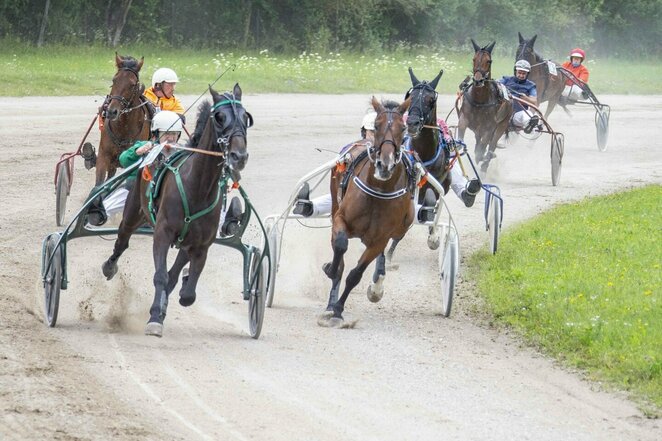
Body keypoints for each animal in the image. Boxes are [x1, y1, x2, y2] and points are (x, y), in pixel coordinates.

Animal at [92, 53, 152, 186]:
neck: (123, 129)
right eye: (114, 80)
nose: (112, 111)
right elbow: (99, 183)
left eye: (133, 84)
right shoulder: (104, 157)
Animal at [102, 83, 253, 336]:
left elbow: (186, 291)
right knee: (122, 240)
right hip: (133, 212)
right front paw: (155, 318)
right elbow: (161, 276)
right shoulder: (162, 234)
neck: (198, 187)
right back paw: (109, 267)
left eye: (245, 117)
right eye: (220, 117)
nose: (238, 156)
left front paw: (172, 299)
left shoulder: (201, 245)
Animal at [320, 96, 412, 324]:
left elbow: (355, 274)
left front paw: (338, 309)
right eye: (377, 125)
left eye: (403, 127)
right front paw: (331, 270)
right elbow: (340, 246)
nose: (385, 164)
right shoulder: (341, 219)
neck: (378, 190)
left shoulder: (380, 240)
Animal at [456, 39, 512, 172]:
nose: (478, 81)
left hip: (502, 125)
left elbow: (481, 150)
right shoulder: (464, 118)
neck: (480, 101)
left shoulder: (489, 127)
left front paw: (483, 157)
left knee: (491, 144)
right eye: (473, 59)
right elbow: (461, 132)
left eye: (489, 61)